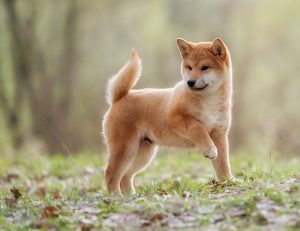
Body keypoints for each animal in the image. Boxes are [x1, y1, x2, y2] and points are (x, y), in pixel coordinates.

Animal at [103, 38, 234, 194]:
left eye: (205, 67)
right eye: (189, 67)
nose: (190, 82)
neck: (208, 100)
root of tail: (118, 98)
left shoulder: (219, 134)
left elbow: (223, 165)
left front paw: (228, 182)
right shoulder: (175, 117)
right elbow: (198, 128)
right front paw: (209, 149)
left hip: (143, 154)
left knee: (125, 176)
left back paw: (131, 195)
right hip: (125, 148)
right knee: (111, 173)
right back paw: (116, 196)